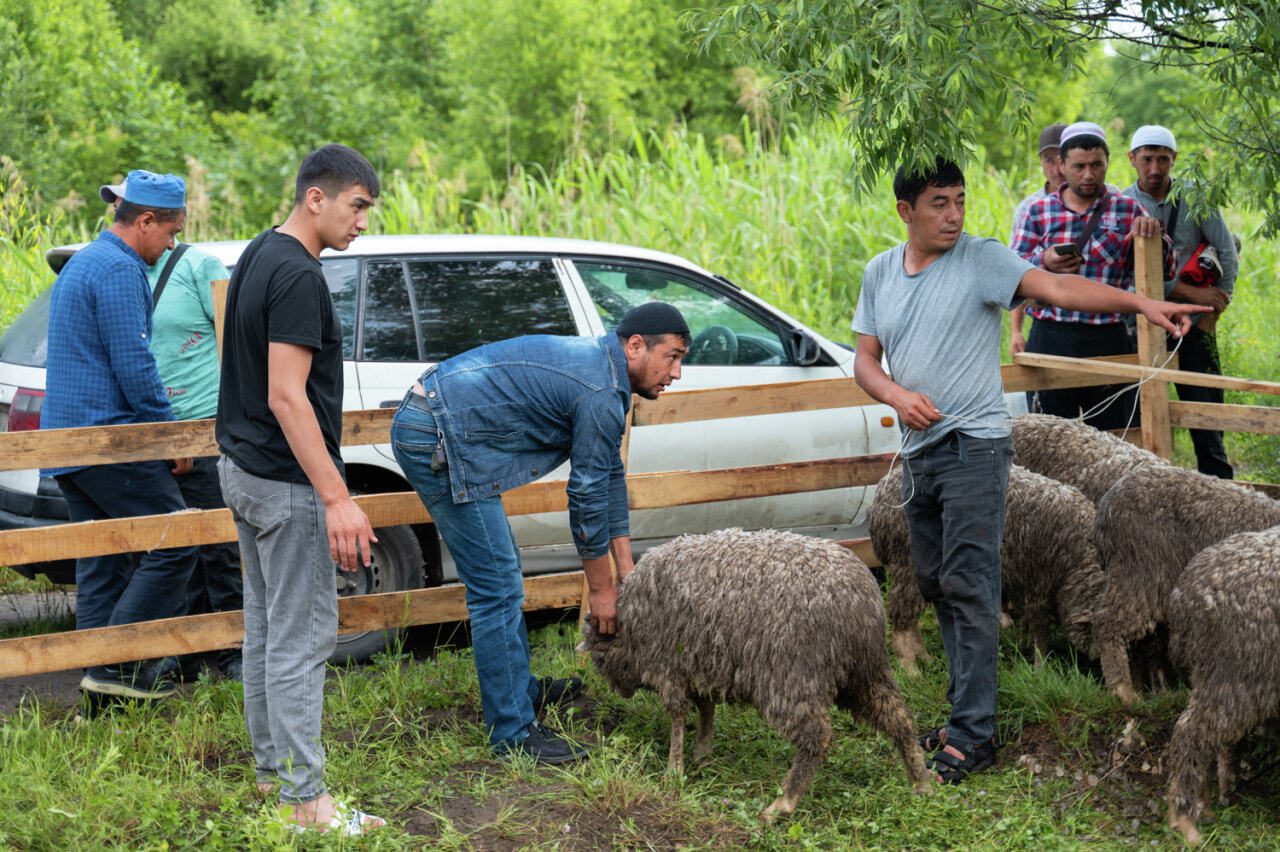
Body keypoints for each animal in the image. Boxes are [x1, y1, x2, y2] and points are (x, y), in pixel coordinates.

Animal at [581, 524, 931, 818]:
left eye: (599, 660)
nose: (618, 691)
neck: (630, 624)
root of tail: (861, 599)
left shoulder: (668, 667)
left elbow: (678, 717)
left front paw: (674, 769)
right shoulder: (701, 665)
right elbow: (706, 709)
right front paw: (702, 751)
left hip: (792, 677)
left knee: (817, 735)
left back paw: (784, 803)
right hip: (865, 671)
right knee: (899, 719)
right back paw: (920, 781)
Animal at [875, 460, 1105, 675]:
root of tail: (879, 497)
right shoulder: (1037, 585)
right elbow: (1040, 629)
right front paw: (1041, 667)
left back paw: (925, 657)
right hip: (908, 563)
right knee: (900, 614)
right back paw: (910, 668)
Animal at [1090, 465, 1280, 701]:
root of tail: (1105, 506)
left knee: (1145, 639)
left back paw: (1154, 688)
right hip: (1140, 569)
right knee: (1107, 622)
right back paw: (1123, 690)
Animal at [1167, 524, 1280, 844]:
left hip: (1223, 680)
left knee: (1215, 740)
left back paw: (1208, 804)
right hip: (1235, 677)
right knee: (1191, 735)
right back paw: (1184, 819)